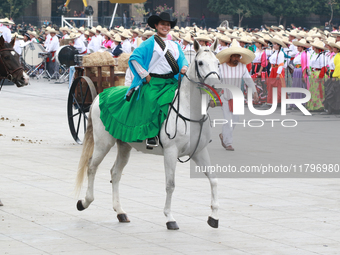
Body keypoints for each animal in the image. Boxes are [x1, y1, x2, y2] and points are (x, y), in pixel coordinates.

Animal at [75, 40, 220, 230]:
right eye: (201, 63)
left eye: (218, 62)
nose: (215, 86)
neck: (189, 109)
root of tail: (100, 95)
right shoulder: (171, 152)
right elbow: (170, 184)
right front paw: (169, 217)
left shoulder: (199, 151)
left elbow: (213, 180)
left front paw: (214, 216)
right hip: (103, 143)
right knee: (92, 167)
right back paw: (85, 201)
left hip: (124, 146)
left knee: (115, 173)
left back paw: (120, 211)